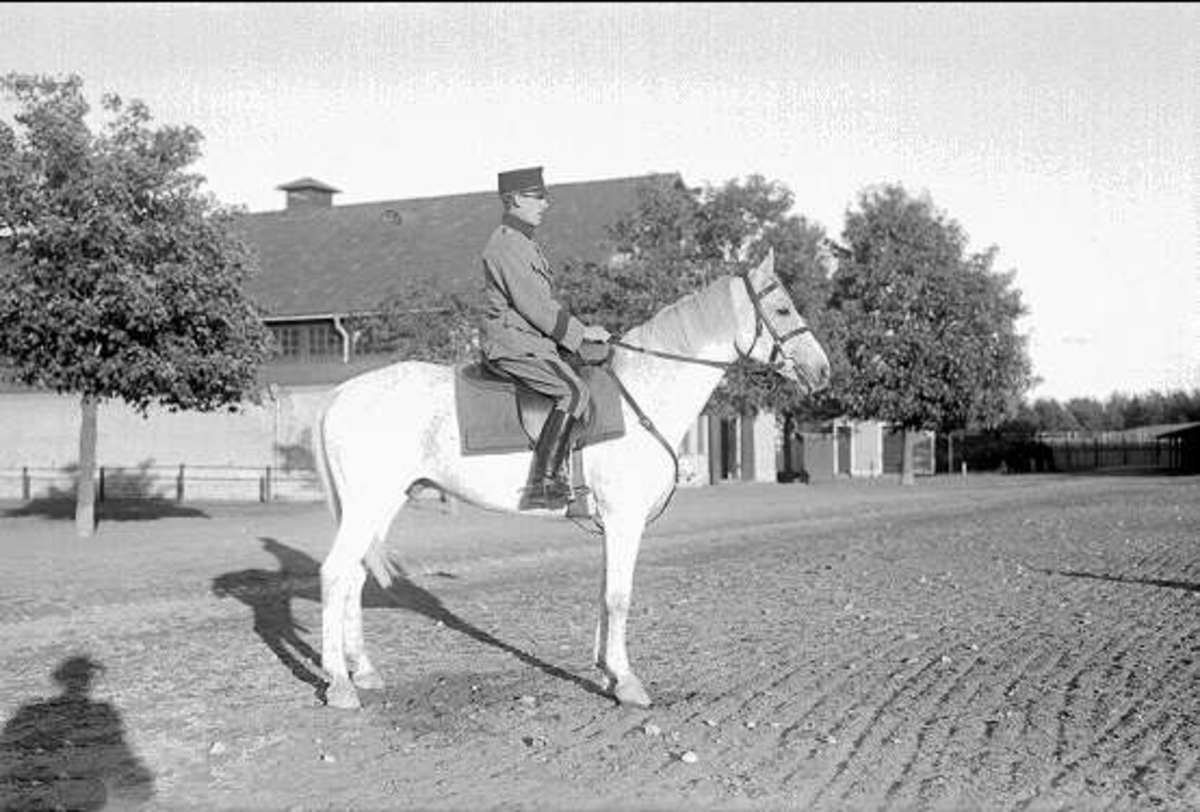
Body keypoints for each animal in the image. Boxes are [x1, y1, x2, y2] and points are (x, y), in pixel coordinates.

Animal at [314, 251, 830, 710]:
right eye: (782, 309)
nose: (823, 370)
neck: (643, 392)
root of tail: (339, 394)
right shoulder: (624, 520)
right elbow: (619, 597)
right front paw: (628, 684)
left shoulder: (614, 524)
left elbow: (605, 591)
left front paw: (606, 671)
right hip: (367, 505)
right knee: (335, 572)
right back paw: (339, 684)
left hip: (384, 503)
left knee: (355, 575)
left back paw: (365, 670)